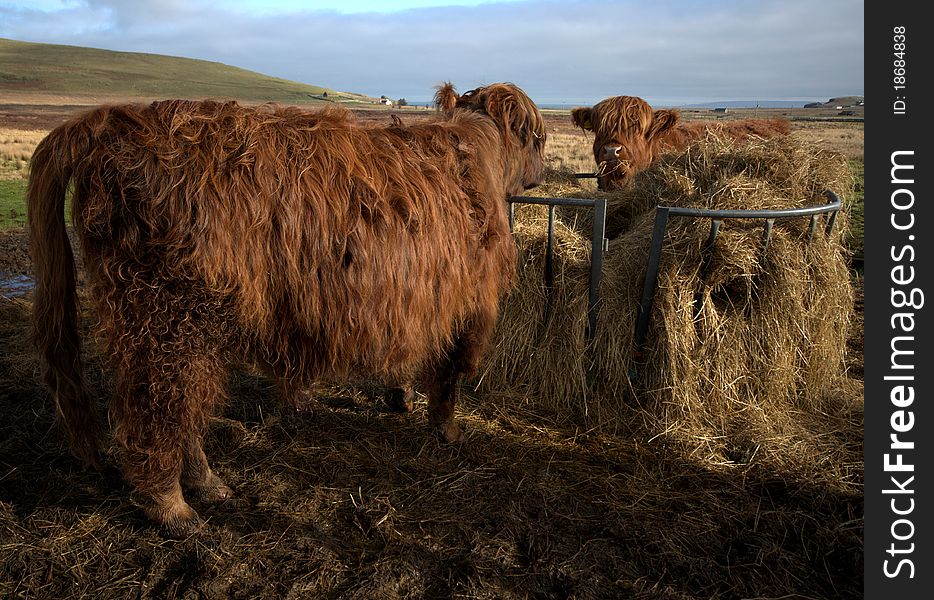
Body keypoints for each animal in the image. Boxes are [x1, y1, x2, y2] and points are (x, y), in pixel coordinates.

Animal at [27, 82, 548, 536]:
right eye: (539, 139)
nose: (542, 172)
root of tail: (112, 120)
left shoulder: (412, 300)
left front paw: (399, 396)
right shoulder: (469, 305)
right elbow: (449, 374)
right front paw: (447, 428)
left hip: (183, 326)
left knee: (184, 406)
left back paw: (208, 484)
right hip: (167, 315)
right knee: (158, 409)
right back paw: (173, 507)